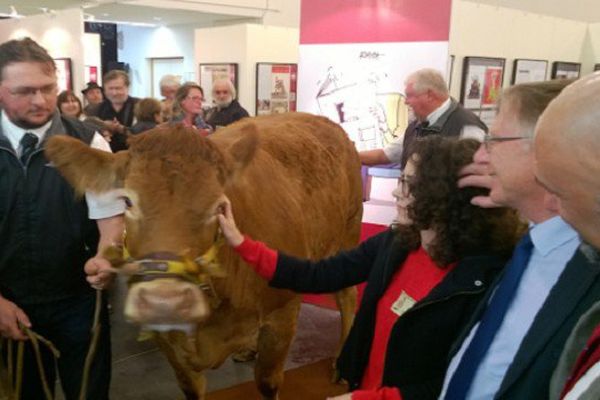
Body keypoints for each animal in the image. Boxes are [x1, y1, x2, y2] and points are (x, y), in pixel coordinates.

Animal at [44, 112, 364, 400]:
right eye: (127, 201)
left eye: (220, 205)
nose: (165, 299)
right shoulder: (170, 343)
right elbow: (191, 388)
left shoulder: (282, 314)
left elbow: (267, 382)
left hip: (348, 232)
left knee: (347, 296)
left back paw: (341, 362)